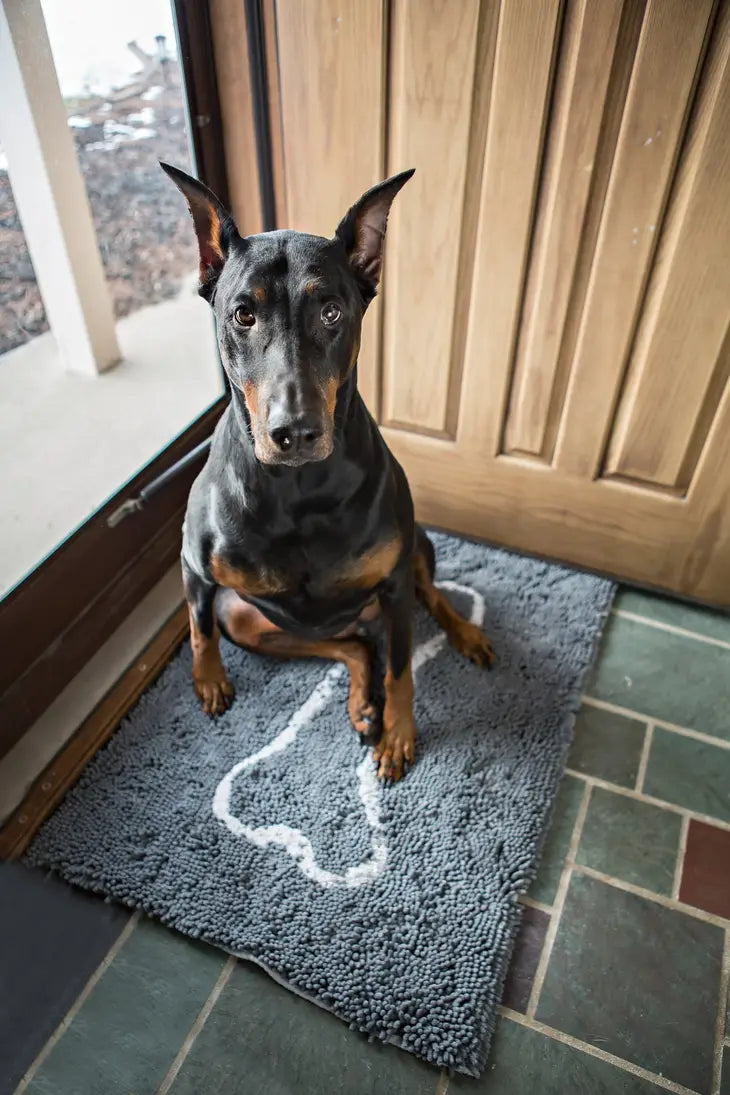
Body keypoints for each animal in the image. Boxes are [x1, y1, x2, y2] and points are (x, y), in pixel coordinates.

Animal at [161, 159, 494, 779]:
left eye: (332, 311)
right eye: (243, 313)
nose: (295, 431)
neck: (295, 489)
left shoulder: (393, 582)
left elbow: (403, 668)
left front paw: (398, 735)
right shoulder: (195, 564)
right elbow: (197, 628)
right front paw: (208, 682)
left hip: (415, 548)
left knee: (427, 599)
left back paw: (463, 635)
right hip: (250, 619)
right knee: (352, 644)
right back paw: (362, 702)